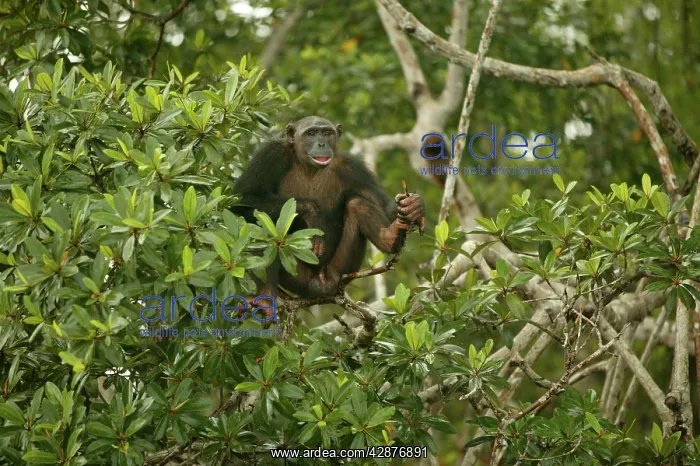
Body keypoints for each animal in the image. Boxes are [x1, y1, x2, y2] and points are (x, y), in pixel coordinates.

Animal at [231, 116, 425, 317]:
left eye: (326, 133)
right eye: (310, 133)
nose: (321, 143)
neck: (309, 167)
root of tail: (321, 286)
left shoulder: (355, 168)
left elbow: (380, 202)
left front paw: (414, 207)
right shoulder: (269, 155)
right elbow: (244, 198)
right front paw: (311, 212)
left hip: (340, 270)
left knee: (357, 204)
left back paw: (390, 236)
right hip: (298, 279)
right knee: (261, 228)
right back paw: (265, 298)